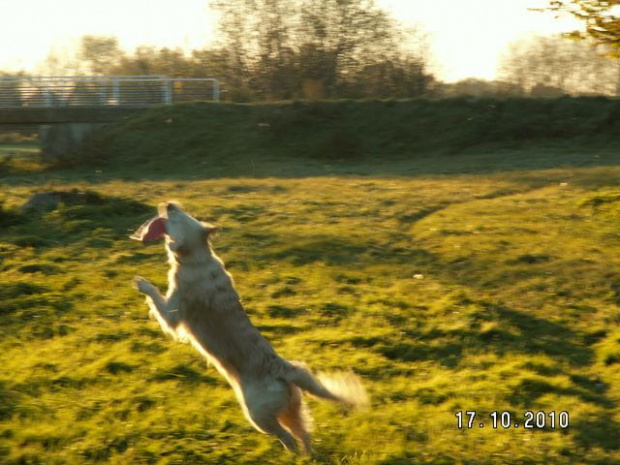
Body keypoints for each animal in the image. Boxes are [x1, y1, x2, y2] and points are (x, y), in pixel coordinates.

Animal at [132, 201, 368, 452]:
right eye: (183, 211)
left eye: (176, 216)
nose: (169, 204)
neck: (198, 258)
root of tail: (284, 369)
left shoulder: (173, 312)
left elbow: (156, 299)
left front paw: (142, 284)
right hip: (292, 409)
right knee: (304, 435)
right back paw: (308, 455)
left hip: (258, 415)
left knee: (288, 437)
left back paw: (290, 454)